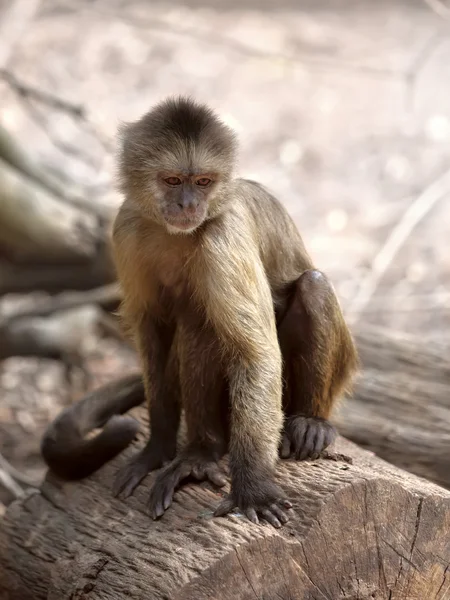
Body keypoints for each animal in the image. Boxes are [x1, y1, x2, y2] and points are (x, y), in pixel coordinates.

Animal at [42, 96, 358, 528]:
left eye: (204, 182)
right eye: (174, 181)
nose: (189, 204)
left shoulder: (223, 234)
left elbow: (257, 354)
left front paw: (254, 487)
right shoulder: (126, 227)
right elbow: (152, 330)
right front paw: (158, 447)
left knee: (307, 287)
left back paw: (306, 422)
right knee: (198, 322)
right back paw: (202, 452)